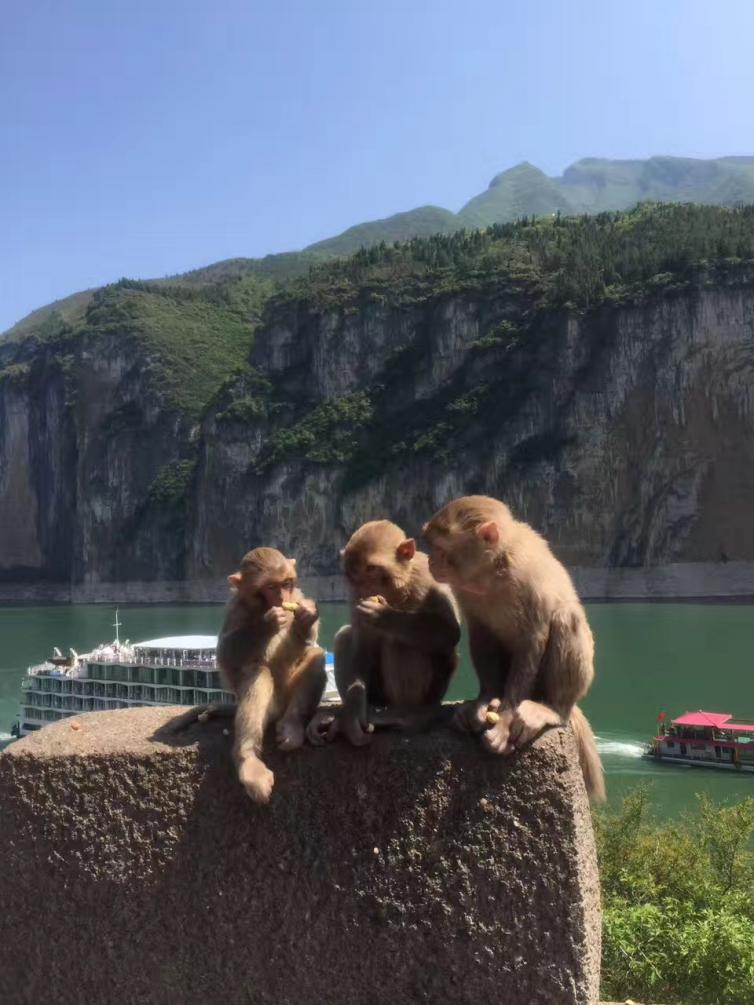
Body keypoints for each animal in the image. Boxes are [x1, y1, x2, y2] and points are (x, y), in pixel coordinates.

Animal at [215, 546, 327, 804]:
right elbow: (225, 653)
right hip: (271, 707)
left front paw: (307, 617)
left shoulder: (298, 594)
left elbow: (309, 642)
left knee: (316, 655)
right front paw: (269, 624)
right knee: (258, 673)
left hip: (287, 701)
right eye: (270, 587)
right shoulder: (235, 608)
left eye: (286, 584)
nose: (283, 599)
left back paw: (292, 726)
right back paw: (248, 759)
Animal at [305, 518, 460, 747]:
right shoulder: (353, 596)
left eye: (371, 568)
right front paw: (352, 711)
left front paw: (383, 615)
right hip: (377, 693)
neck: (397, 590)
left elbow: (450, 631)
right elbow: (360, 641)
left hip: (430, 694)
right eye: (352, 573)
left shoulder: (429, 579)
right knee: (345, 635)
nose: (363, 587)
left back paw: (408, 716)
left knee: (400, 643)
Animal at [426, 498, 607, 804]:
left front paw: (505, 721)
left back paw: (550, 709)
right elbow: (481, 633)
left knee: (565, 617)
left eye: (441, 548)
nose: (429, 560)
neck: (493, 570)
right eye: (433, 546)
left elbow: (532, 638)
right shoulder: (465, 588)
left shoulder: (528, 576)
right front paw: (484, 700)